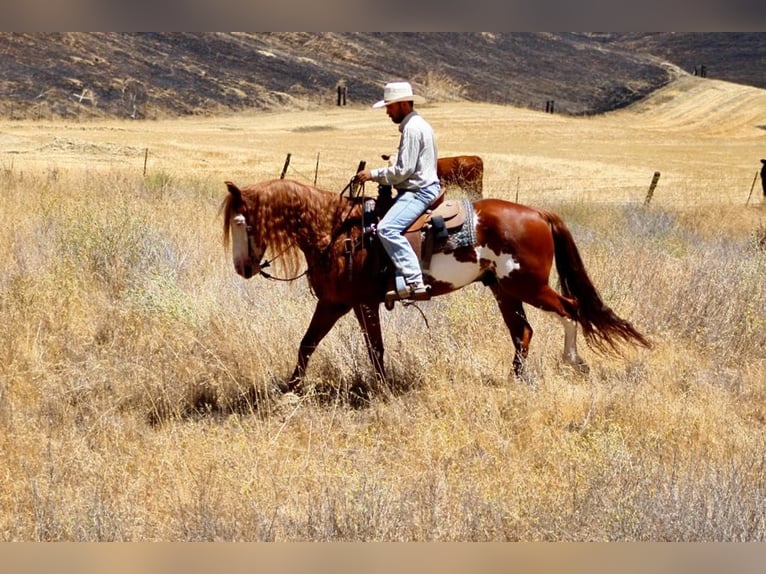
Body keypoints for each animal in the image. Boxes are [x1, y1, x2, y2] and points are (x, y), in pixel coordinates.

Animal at [220, 178, 650, 393]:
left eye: (241, 222)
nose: (242, 268)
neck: (339, 233)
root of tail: (538, 213)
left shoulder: (353, 304)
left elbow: (371, 349)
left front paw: (382, 390)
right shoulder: (338, 303)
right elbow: (308, 344)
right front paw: (289, 389)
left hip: (527, 285)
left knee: (570, 308)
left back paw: (572, 361)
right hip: (504, 290)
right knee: (523, 331)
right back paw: (515, 379)